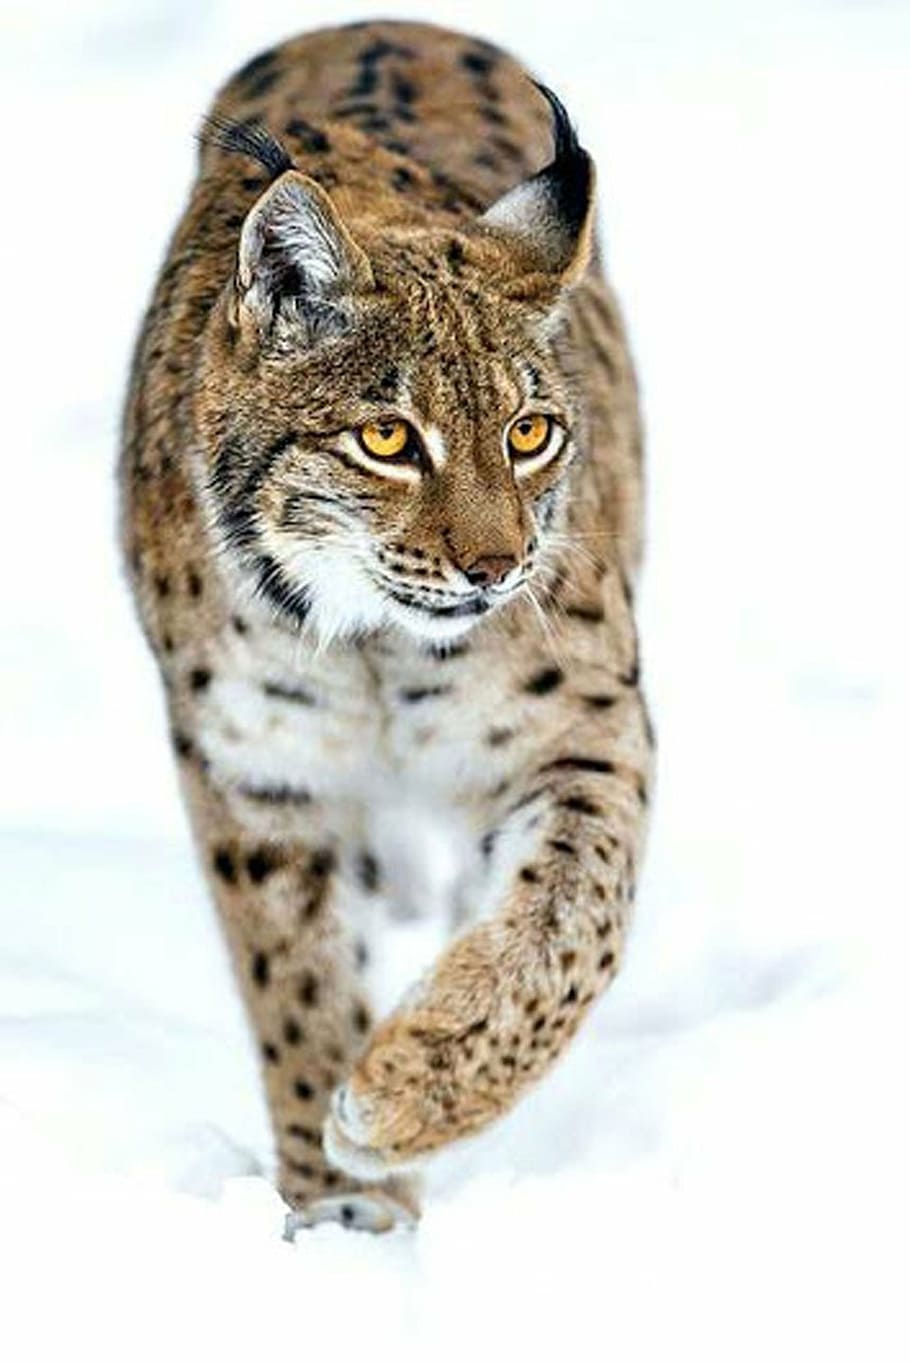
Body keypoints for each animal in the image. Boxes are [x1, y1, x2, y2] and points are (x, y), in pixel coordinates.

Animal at [120, 18, 652, 1234]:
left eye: (530, 432)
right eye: (387, 441)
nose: (496, 569)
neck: (376, 643)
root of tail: (383, 20)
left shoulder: (587, 725)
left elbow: (571, 922)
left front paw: (413, 1091)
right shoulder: (258, 769)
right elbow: (298, 987)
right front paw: (346, 1220)